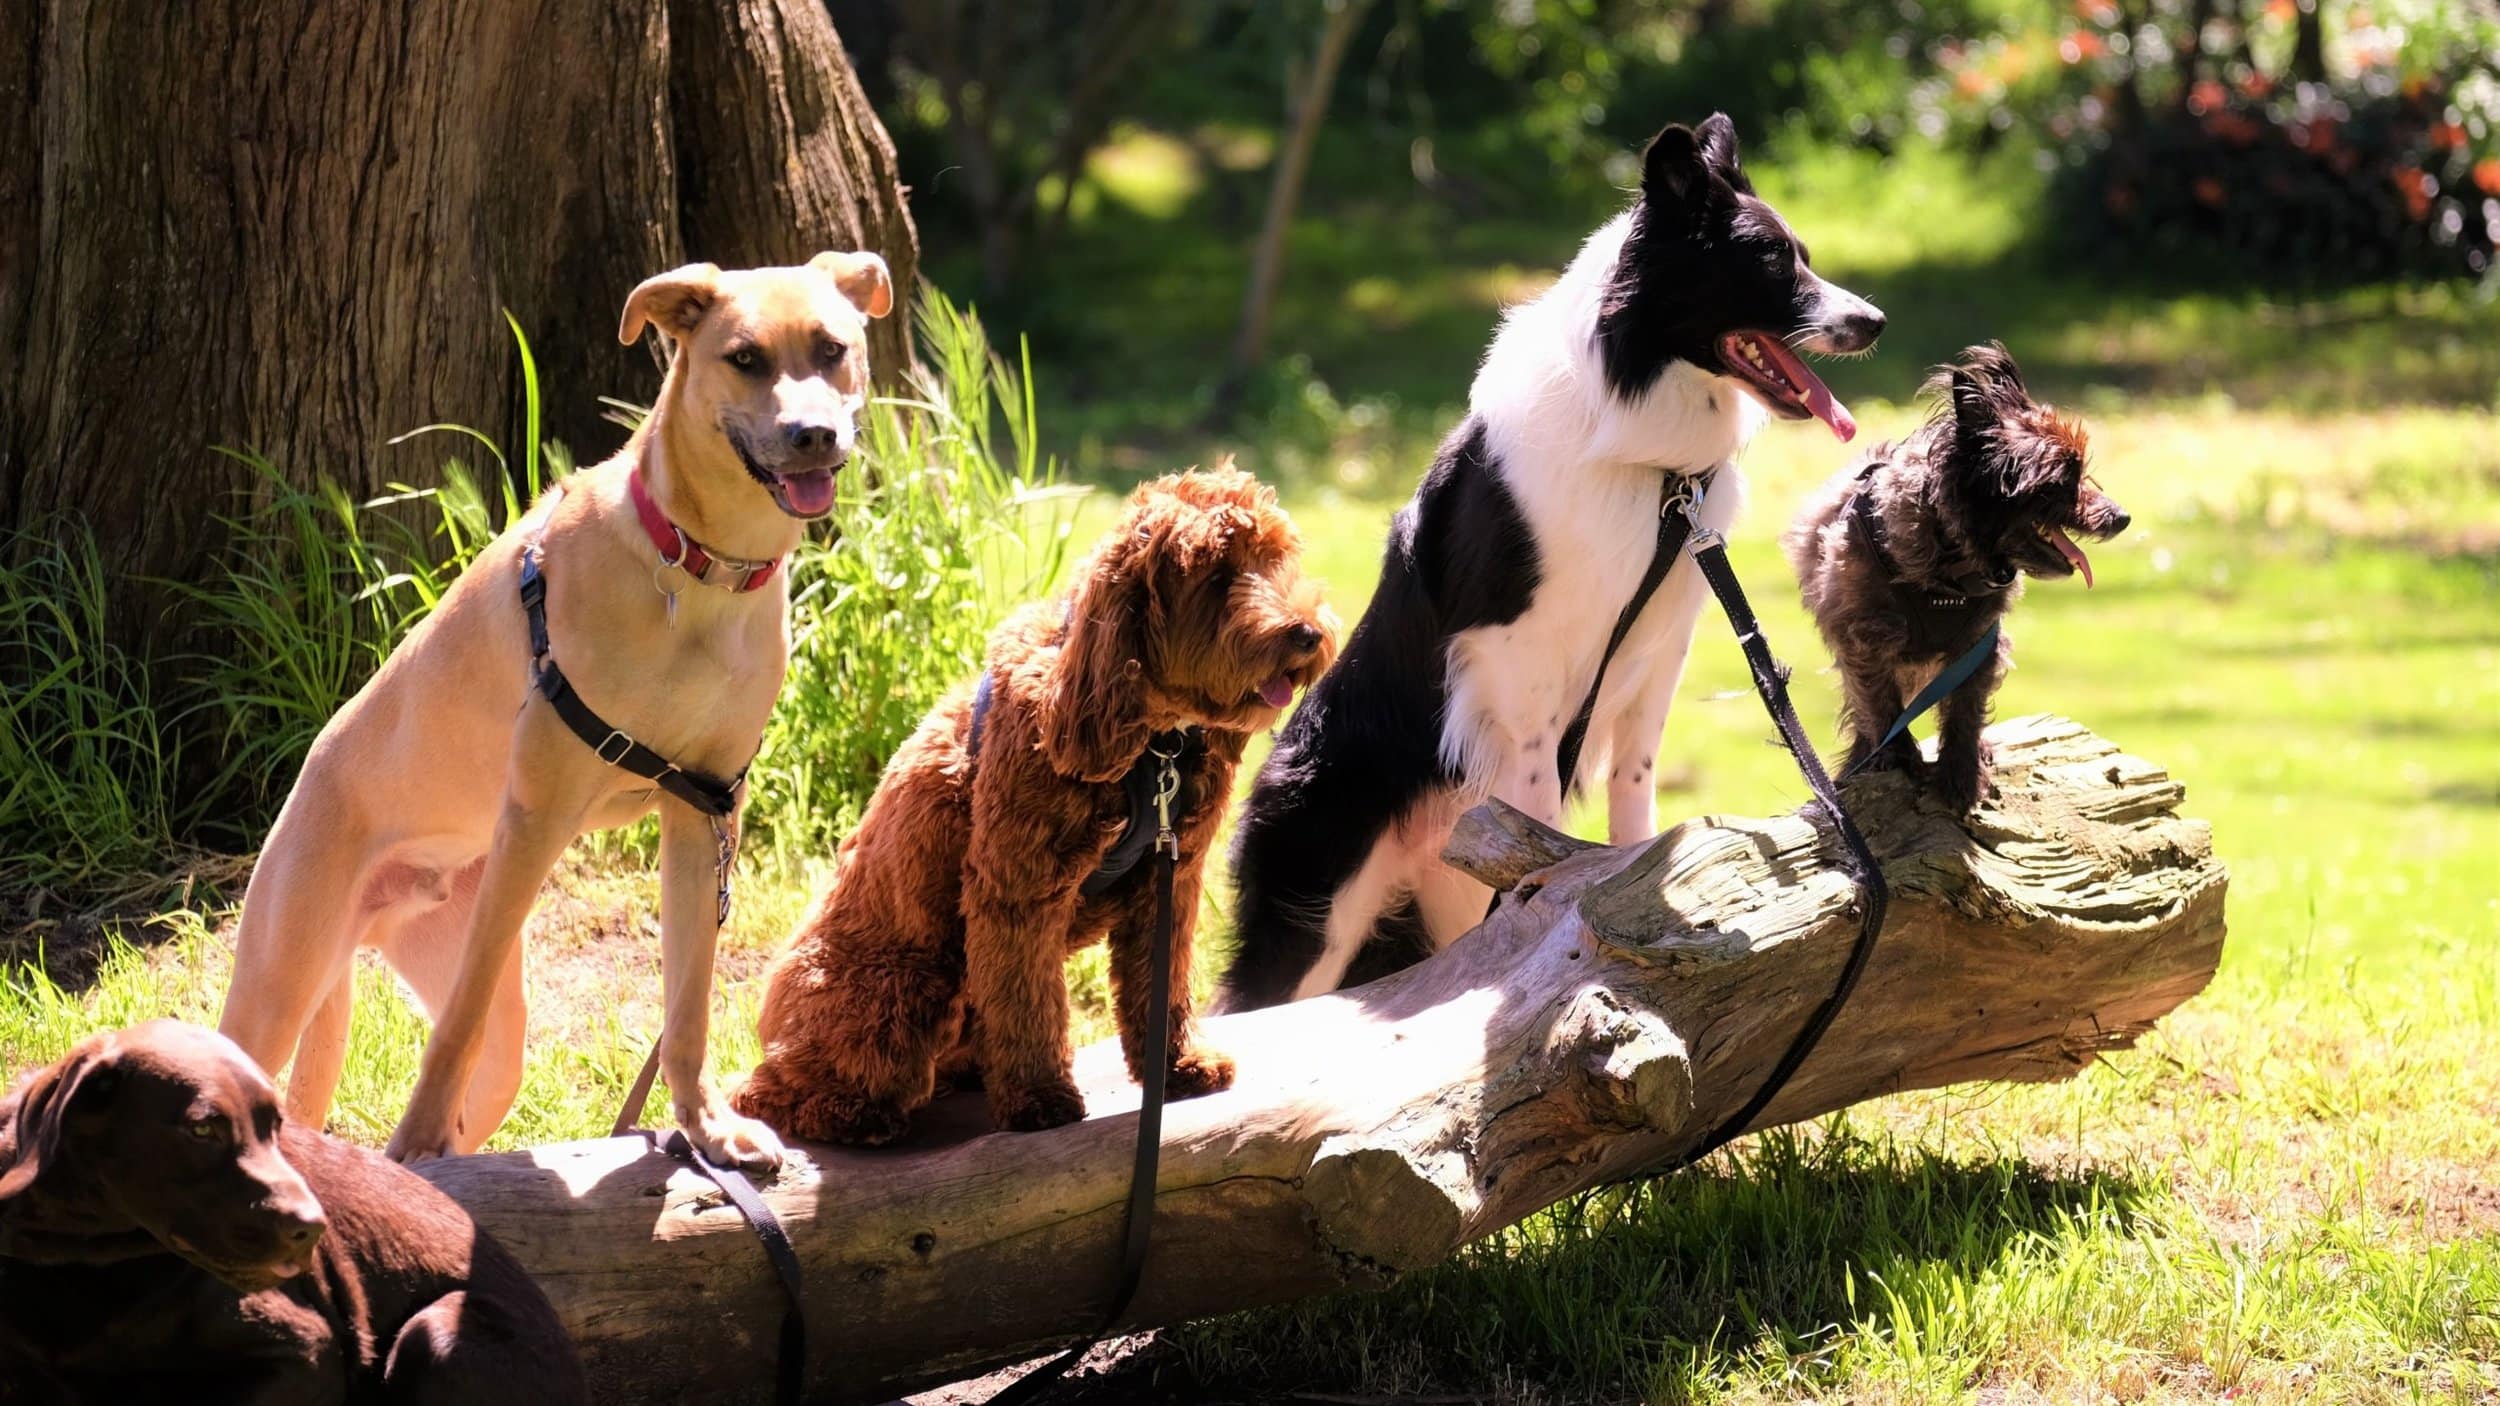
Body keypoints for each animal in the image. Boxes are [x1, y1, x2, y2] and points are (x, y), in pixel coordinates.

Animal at [0, 1015, 580, 1400]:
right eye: (202, 1129)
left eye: (276, 1126)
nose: (314, 1229)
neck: (80, 1260)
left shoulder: (306, 1355)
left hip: (437, 1334)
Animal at [220, 248, 895, 1160]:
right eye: (746, 358)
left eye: (831, 349)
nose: (812, 435)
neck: (696, 569)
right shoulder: (535, 820)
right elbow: (454, 1028)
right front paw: (412, 1143)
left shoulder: (705, 811)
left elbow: (688, 1002)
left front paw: (706, 1127)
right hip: (280, 983)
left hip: (490, 1021)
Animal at [730, 465, 1340, 1145]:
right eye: (1216, 577)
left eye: (1276, 559)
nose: (1308, 633)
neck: (1151, 742)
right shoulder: (1018, 887)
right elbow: (1028, 1002)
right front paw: (1040, 1097)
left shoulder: (1170, 880)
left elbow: (1161, 984)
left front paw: (1178, 1065)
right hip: (902, 992)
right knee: (762, 1093)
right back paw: (854, 1114)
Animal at [1220, 115, 1880, 1000]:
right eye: (1773, 261)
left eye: (1801, 254)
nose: (1875, 321)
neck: (1646, 460)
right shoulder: (1514, 655)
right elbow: (1533, 796)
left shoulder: (1658, 646)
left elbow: (1635, 783)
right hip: (1320, 910)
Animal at [1790, 342, 2120, 810]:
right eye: (2062, 480)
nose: (2121, 517)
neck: (1949, 574)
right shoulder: (1864, 638)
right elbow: (1880, 702)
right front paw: (1896, 757)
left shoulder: (1978, 646)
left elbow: (1965, 708)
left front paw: (1961, 771)